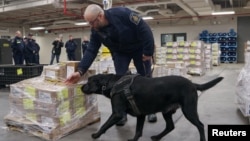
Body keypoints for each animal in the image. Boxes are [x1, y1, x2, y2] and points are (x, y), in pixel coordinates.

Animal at [81, 74, 223, 141]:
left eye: (88, 81)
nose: (81, 87)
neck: (113, 82)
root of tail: (192, 84)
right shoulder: (140, 114)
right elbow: (138, 131)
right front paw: (133, 139)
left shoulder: (117, 113)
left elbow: (104, 125)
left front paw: (96, 135)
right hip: (167, 111)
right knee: (170, 126)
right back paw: (157, 137)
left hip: (189, 110)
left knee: (200, 125)